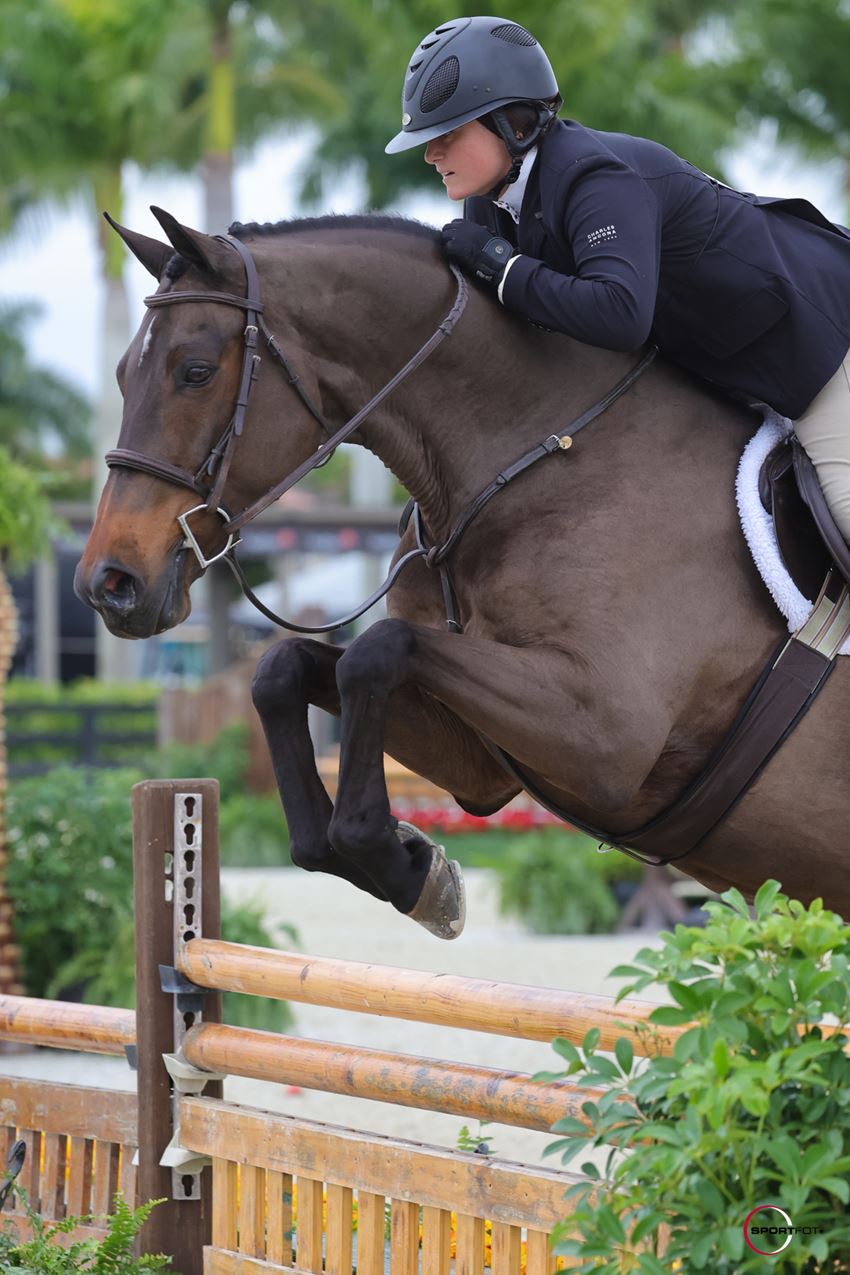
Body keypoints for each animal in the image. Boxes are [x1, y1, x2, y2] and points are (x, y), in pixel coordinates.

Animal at [74, 204, 850, 933]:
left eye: (195, 372)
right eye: (121, 375)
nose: (108, 583)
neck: (534, 460)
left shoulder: (604, 735)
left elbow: (375, 652)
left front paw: (398, 859)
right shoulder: (483, 761)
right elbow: (282, 669)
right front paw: (409, 866)